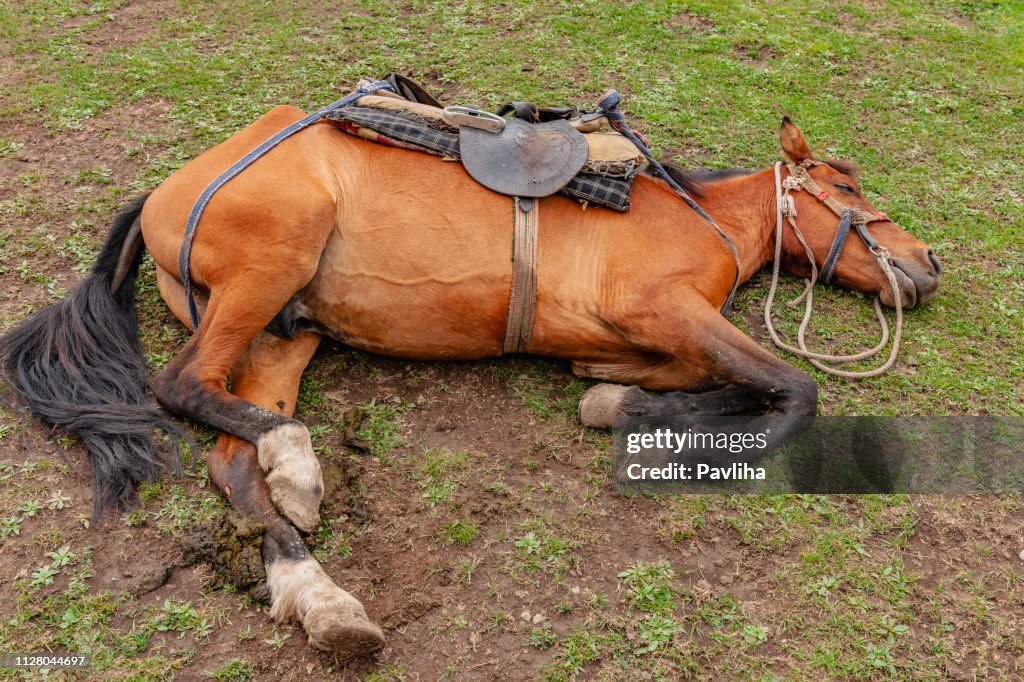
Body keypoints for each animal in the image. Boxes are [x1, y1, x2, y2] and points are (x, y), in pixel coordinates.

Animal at [0, 111, 937, 655]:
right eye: (846, 186)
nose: (927, 264)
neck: (698, 215)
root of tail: (167, 189)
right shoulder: (660, 304)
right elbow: (791, 390)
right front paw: (667, 440)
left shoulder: (650, 332)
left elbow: (661, 380)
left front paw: (622, 401)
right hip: (269, 270)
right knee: (179, 384)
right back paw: (298, 464)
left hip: (283, 335)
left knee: (230, 456)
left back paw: (318, 592)